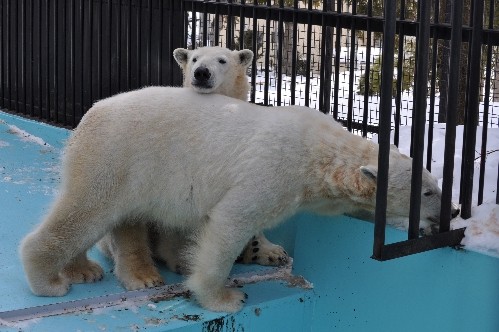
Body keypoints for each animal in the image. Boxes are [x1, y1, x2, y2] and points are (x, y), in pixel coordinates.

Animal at [20, 87, 460, 312]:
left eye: (435, 183)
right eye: (427, 191)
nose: (453, 208)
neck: (320, 153)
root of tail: (89, 114)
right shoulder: (273, 171)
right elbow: (230, 222)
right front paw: (226, 296)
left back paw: (82, 269)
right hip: (116, 158)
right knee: (85, 211)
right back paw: (50, 281)